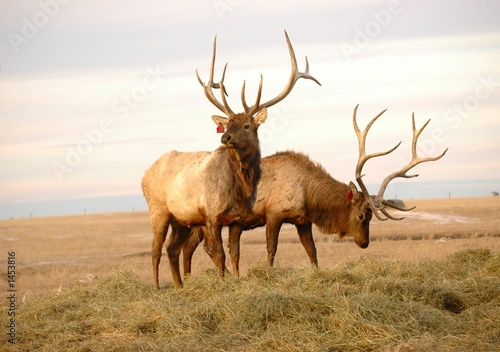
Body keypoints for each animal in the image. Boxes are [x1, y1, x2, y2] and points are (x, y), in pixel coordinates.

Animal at [182, 104, 448, 276]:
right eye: (362, 215)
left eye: (372, 216)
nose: (365, 243)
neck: (310, 196)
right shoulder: (273, 213)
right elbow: (271, 249)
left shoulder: (302, 220)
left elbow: (312, 251)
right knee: (203, 248)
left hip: (197, 222)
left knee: (188, 248)